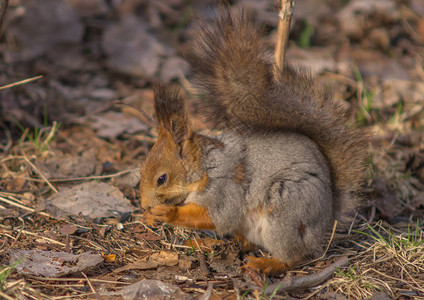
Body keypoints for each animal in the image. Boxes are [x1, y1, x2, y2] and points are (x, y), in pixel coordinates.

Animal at [138, 8, 368, 276]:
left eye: (161, 178)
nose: (143, 204)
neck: (204, 165)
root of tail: (327, 220)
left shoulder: (224, 188)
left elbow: (220, 217)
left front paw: (167, 212)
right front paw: (148, 217)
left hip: (286, 210)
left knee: (293, 256)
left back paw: (266, 264)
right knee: (247, 242)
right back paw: (215, 243)